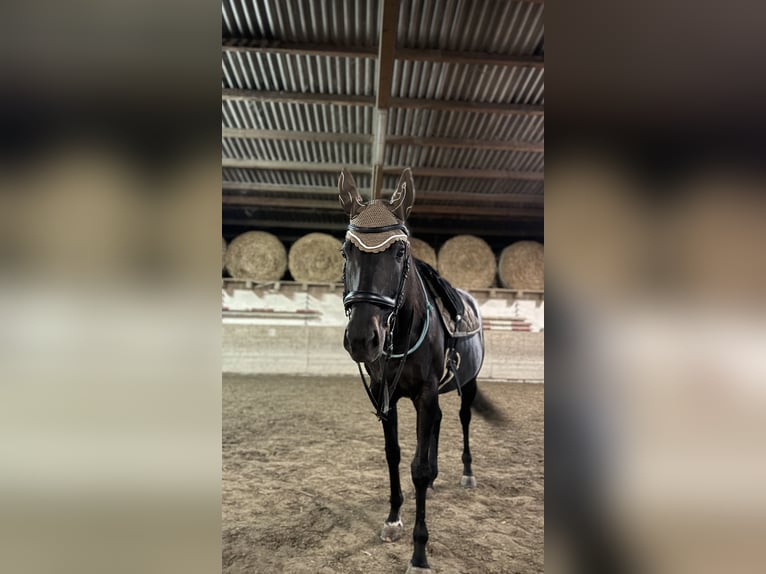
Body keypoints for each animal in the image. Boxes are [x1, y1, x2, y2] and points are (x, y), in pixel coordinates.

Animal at [338, 167, 502, 573]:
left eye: (400, 251)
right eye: (346, 251)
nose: (363, 338)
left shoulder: (425, 395)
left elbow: (418, 468)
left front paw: (419, 553)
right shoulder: (387, 395)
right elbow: (394, 454)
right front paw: (393, 517)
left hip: (468, 384)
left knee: (461, 419)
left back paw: (466, 474)